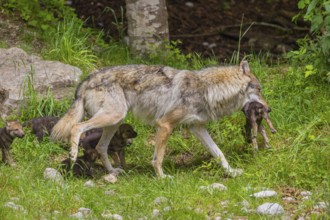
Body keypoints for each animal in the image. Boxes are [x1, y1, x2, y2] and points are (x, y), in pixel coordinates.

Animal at [51, 61, 268, 178]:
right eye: (259, 89)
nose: (268, 108)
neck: (209, 89)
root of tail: (87, 79)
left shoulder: (197, 128)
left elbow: (219, 153)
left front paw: (231, 172)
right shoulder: (164, 125)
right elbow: (159, 158)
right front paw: (162, 177)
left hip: (114, 122)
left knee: (101, 147)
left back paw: (113, 171)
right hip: (112, 117)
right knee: (76, 127)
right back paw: (73, 156)